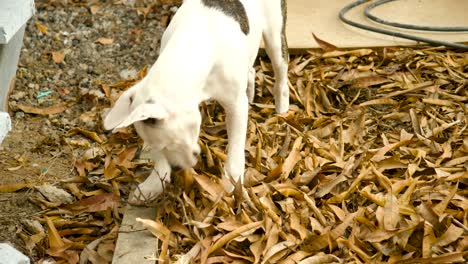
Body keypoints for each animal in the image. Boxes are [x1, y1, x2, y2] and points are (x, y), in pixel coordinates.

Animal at [103, 0, 288, 204]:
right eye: (157, 148)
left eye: (171, 143)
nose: (176, 169)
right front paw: (153, 184)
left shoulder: (236, 107)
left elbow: (235, 154)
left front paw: (231, 186)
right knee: (251, 68)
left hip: (274, 35)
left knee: (280, 69)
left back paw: (282, 107)